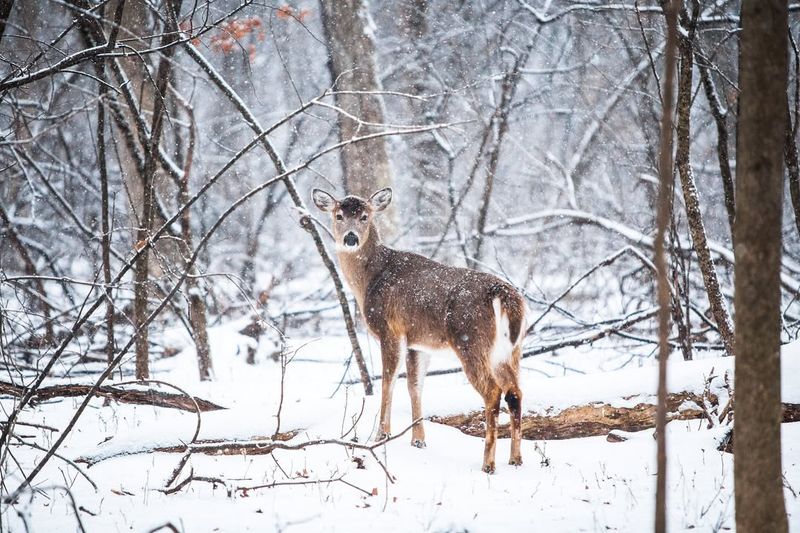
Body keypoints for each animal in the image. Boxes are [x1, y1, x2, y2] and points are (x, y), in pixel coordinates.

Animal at [312, 187, 526, 473]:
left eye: (365, 216)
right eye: (339, 215)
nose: (350, 238)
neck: (369, 279)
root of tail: (504, 295)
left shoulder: (390, 330)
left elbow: (388, 382)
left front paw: (382, 435)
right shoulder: (418, 342)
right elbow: (415, 386)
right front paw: (418, 440)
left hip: (471, 340)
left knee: (493, 392)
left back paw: (488, 464)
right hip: (510, 350)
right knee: (515, 392)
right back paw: (516, 459)